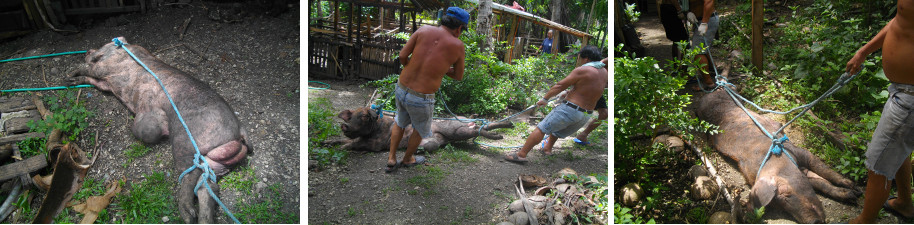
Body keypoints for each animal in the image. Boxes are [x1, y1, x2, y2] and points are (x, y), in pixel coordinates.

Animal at [67, 37, 249, 223]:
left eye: (103, 45)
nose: (88, 50)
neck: (127, 49)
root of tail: (239, 131)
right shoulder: (105, 83)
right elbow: (94, 80)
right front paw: (71, 81)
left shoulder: (107, 66)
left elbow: (89, 68)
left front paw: (69, 74)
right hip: (211, 162)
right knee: (207, 187)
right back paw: (200, 218)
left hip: (185, 142)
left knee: (190, 177)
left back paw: (187, 214)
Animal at [696, 89, 860, 223]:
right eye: (779, 205)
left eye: (786, 193)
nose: (814, 222)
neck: (778, 161)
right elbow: (821, 183)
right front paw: (853, 195)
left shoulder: (799, 151)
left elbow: (824, 171)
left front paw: (853, 188)